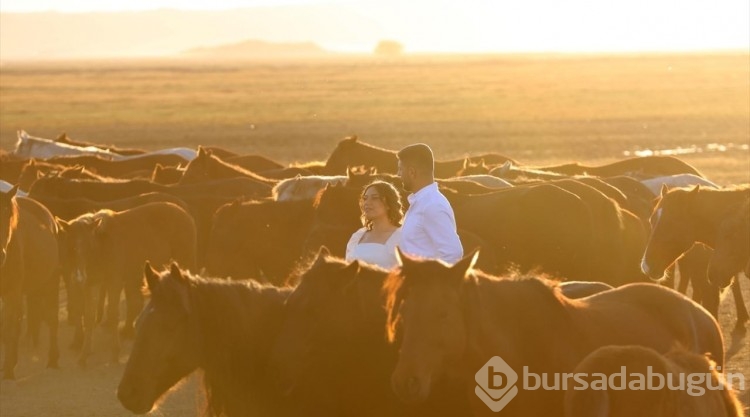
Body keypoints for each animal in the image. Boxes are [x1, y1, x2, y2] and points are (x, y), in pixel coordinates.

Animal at [0, 185, 60, 376]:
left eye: (8, 216)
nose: (1, 256)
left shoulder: (12, 293)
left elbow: (9, 328)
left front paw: (8, 370)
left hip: (51, 281)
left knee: (52, 316)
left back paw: (53, 359)